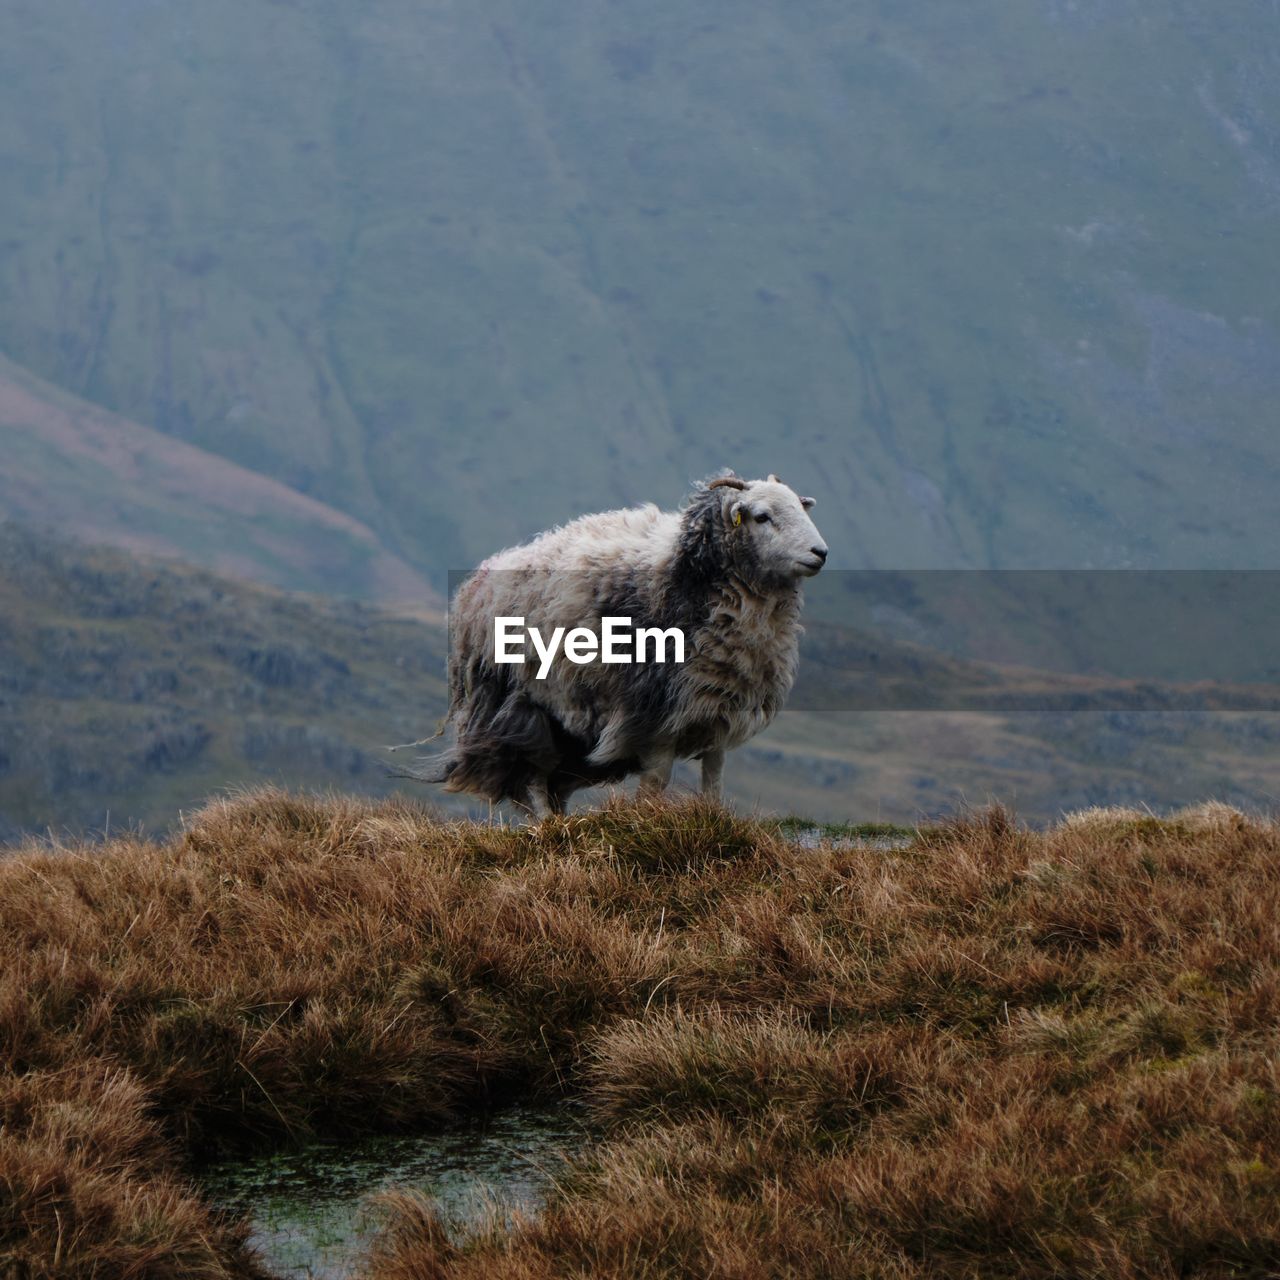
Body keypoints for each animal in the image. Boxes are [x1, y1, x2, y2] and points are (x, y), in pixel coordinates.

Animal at [414, 476, 824, 814]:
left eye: (799, 507)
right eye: (762, 516)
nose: (820, 553)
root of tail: (480, 578)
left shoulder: (718, 711)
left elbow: (714, 783)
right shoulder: (654, 718)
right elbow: (655, 785)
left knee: (551, 782)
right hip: (518, 703)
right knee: (529, 777)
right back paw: (545, 827)